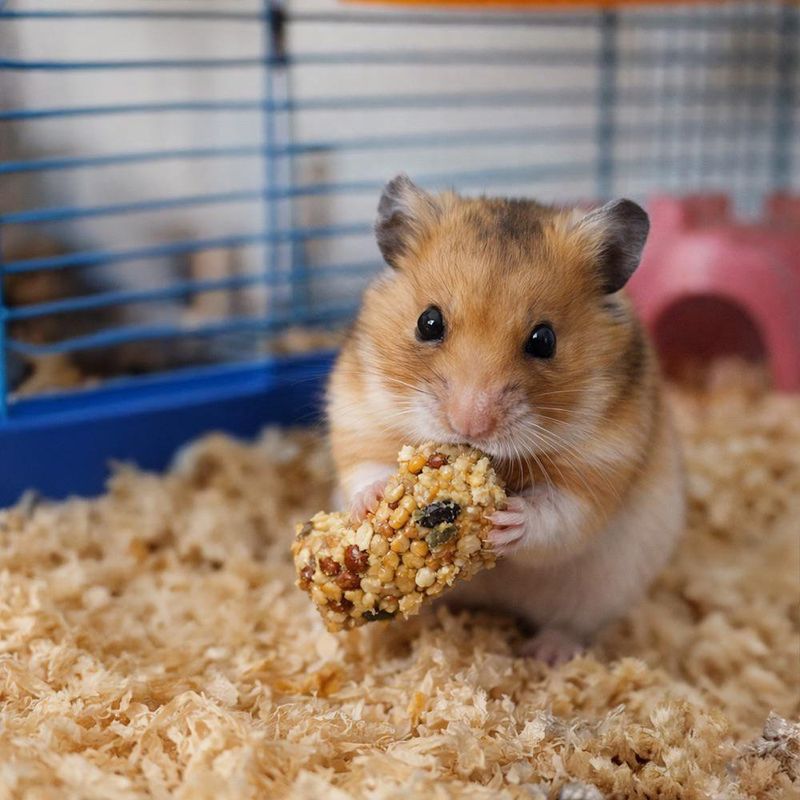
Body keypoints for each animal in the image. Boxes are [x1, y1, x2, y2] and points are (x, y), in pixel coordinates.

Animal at [326, 174, 685, 664]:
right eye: (428, 322)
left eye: (544, 339)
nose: (469, 426)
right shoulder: (357, 413)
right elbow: (364, 467)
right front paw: (376, 497)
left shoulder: (603, 464)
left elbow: (556, 516)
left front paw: (507, 521)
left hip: (607, 588)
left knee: (573, 626)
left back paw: (546, 653)